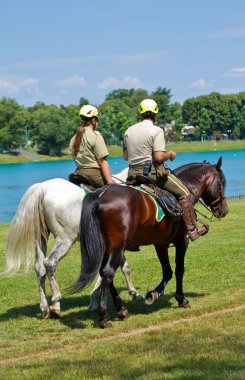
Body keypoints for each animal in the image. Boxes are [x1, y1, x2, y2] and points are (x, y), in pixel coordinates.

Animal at [71, 157, 230, 326]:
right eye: (221, 183)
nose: (224, 210)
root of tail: (100, 194)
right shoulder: (181, 241)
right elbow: (178, 270)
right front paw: (178, 298)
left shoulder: (160, 244)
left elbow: (167, 271)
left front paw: (154, 294)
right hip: (117, 247)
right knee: (108, 273)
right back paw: (104, 316)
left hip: (106, 248)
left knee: (103, 273)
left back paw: (121, 308)